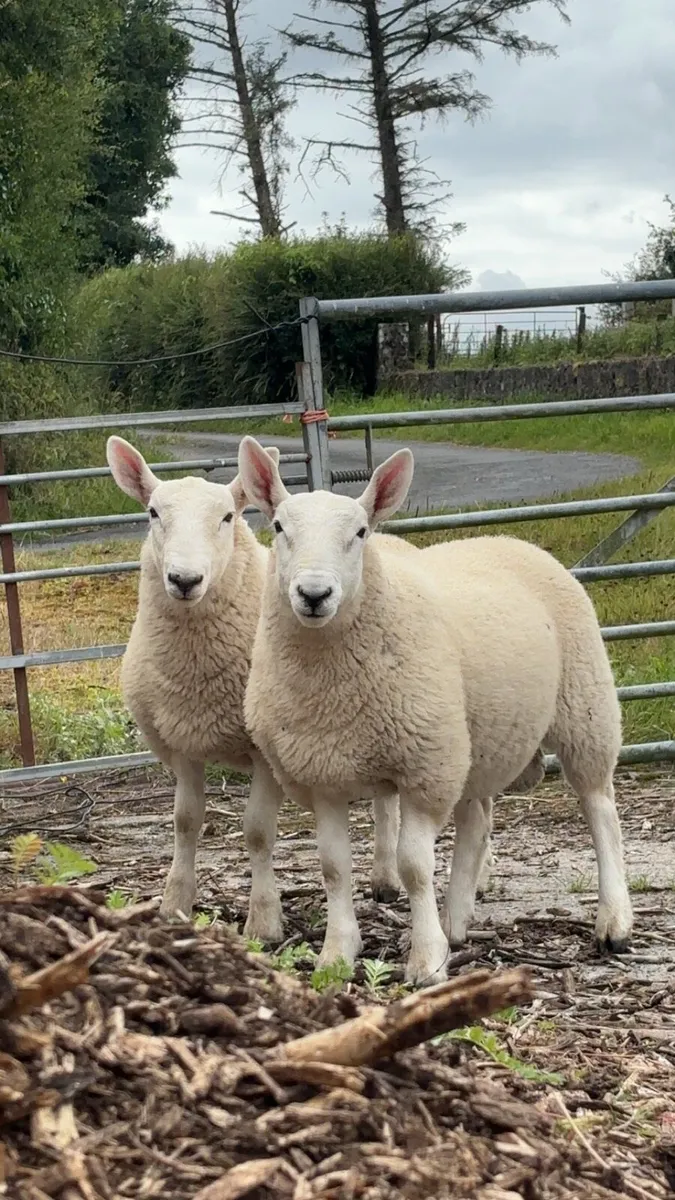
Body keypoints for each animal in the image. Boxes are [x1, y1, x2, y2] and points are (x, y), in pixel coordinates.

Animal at [106, 435, 408, 932]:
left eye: (228, 517)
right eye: (152, 513)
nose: (185, 580)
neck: (198, 672)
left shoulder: (266, 752)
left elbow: (257, 831)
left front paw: (264, 920)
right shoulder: (183, 741)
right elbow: (185, 821)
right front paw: (175, 902)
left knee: (390, 803)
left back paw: (388, 876)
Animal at [238, 435, 633, 985]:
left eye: (360, 532)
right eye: (278, 527)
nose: (314, 594)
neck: (332, 688)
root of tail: (511, 539)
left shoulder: (423, 768)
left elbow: (413, 867)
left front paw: (426, 960)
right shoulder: (322, 775)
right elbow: (334, 867)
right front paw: (338, 953)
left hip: (583, 709)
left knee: (601, 811)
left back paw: (613, 923)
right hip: (473, 739)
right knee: (478, 821)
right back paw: (457, 921)